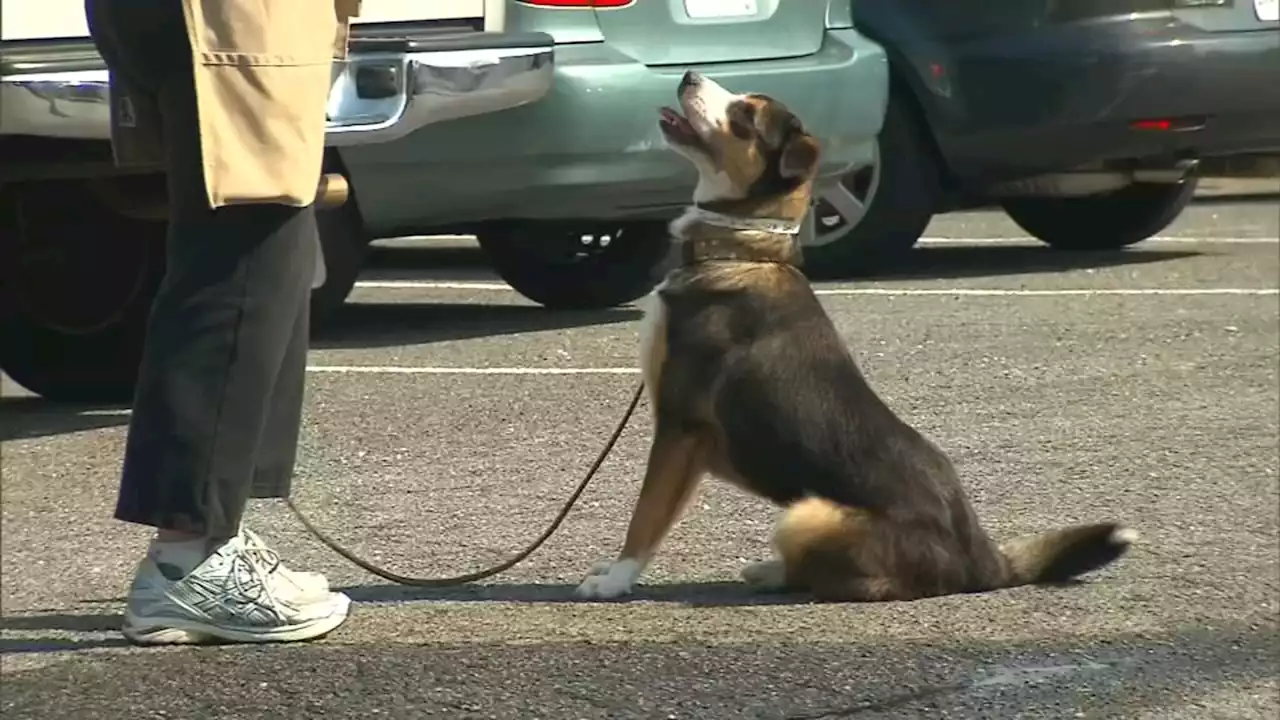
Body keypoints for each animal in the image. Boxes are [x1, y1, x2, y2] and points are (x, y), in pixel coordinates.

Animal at [576, 71, 1136, 599]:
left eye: (744, 116)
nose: (689, 75)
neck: (739, 249)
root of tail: (983, 559)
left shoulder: (681, 427)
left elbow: (646, 517)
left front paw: (616, 579)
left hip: (806, 512)